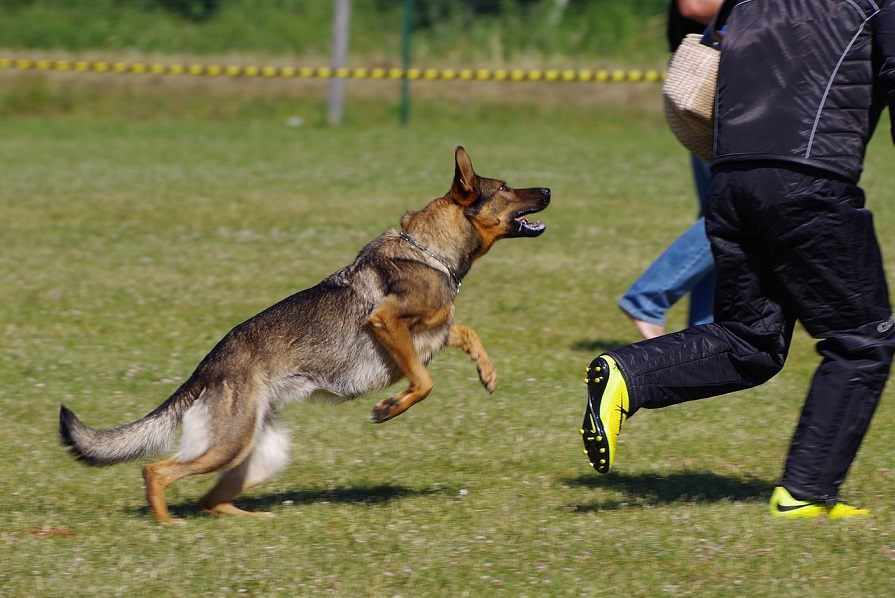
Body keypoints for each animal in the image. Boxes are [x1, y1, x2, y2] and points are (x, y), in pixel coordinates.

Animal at [59, 148, 548, 524]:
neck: (431, 251)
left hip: (261, 453)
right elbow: (424, 382)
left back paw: (252, 520)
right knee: (157, 473)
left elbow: (465, 332)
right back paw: (167, 525)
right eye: (505, 186)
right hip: (227, 444)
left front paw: (487, 373)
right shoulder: (386, 322)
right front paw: (389, 408)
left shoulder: (432, 332)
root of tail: (206, 368)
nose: (548, 190)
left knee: (209, 501)